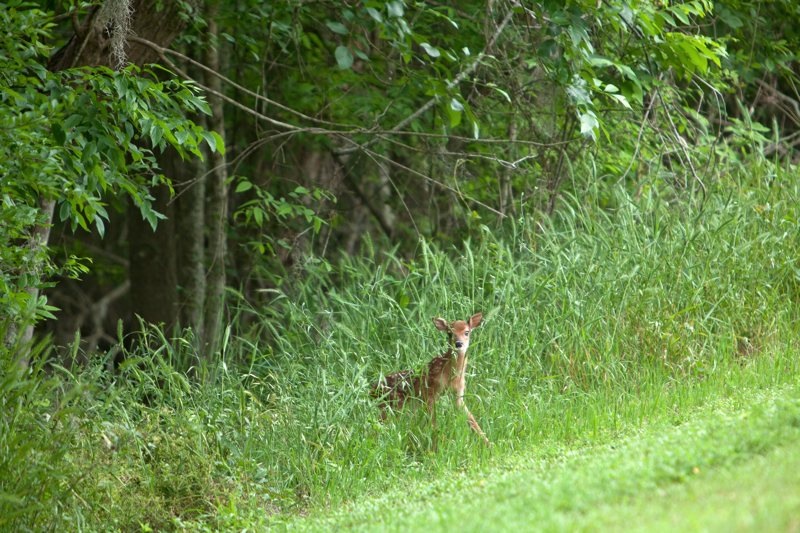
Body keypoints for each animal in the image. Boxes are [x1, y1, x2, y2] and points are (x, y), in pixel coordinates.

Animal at [371, 312, 489, 445]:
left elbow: (471, 418)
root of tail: (372, 390)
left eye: (467, 332)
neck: (451, 376)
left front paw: (488, 443)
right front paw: (438, 440)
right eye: (449, 333)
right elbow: (433, 421)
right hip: (394, 404)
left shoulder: (458, 393)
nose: (458, 344)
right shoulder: (429, 391)